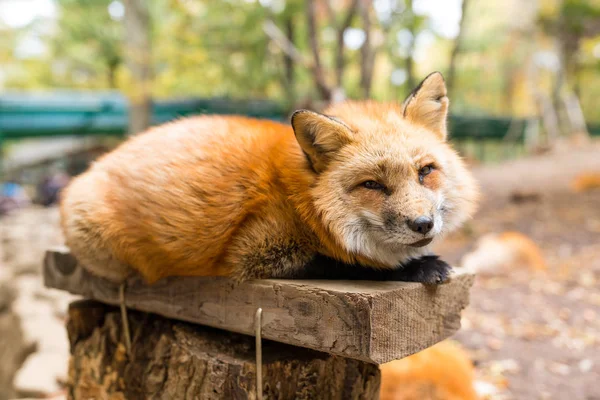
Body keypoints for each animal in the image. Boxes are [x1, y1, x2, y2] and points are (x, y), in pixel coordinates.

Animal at [57, 72, 478, 284]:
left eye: (425, 172)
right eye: (372, 185)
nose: (422, 224)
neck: (303, 200)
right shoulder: (251, 254)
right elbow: (353, 265)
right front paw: (417, 267)